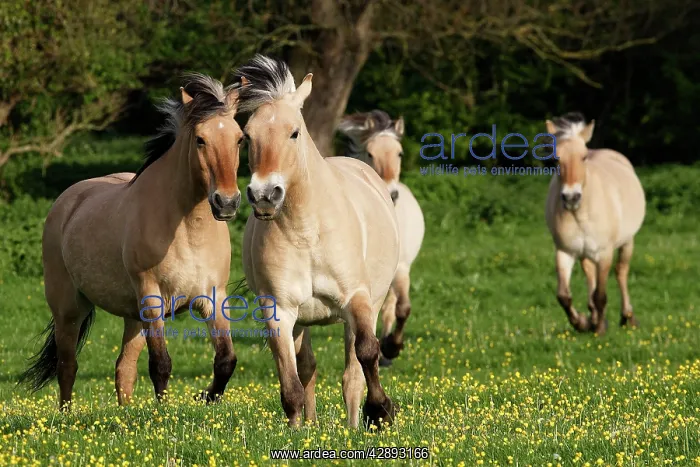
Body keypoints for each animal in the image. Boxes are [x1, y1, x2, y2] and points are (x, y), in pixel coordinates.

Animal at [19, 74, 245, 409]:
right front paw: (165, 413)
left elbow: (226, 360)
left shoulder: (212, 299)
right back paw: (67, 415)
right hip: (69, 308)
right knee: (67, 365)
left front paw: (204, 397)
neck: (188, 232)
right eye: (200, 140)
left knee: (123, 368)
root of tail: (68, 201)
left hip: (132, 316)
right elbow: (161, 364)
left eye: (240, 138)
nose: (226, 203)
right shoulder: (152, 298)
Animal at [233, 55, 400, 429]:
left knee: (352, 373)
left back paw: (354, 424)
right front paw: (296, 430)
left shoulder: (357, 299)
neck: (307, 233)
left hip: (369, 304)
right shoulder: (279, 310)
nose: (264, 195)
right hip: (303, 320)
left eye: (294, 132)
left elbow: (368, 353)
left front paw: (380, 411)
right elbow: (290, 379)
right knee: (307, 367)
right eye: (247, 136)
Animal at [337, 111, 425, 366]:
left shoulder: (402, 269)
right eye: (370, 153)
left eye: (400, 153)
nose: (391, 193)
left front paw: (392, 347)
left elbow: (403, 309)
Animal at [545, 112, 646, 335]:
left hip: (627, 242)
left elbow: (601, 294)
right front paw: (583, 322)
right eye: (556, 159)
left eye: (583, 157)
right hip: (584, 253)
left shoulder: (604, 253)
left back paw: (627, 316)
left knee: (621, 272)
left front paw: (599, 329)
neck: (581, 212)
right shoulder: (565, 252)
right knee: (590, 273)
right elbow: (563, 296)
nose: (571, 197)